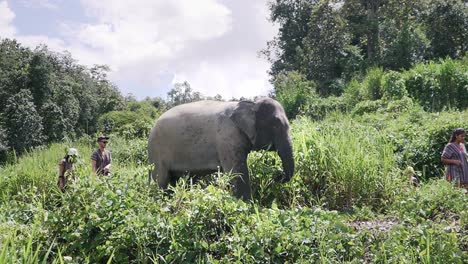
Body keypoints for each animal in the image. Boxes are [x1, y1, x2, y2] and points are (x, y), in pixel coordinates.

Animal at [148, 97, 294, 200]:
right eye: (275, 125)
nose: (275, 176)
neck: (251, 104)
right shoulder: (227, 138)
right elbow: (237, 172)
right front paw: (247, 205)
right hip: (156, 151)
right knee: (160, 180)